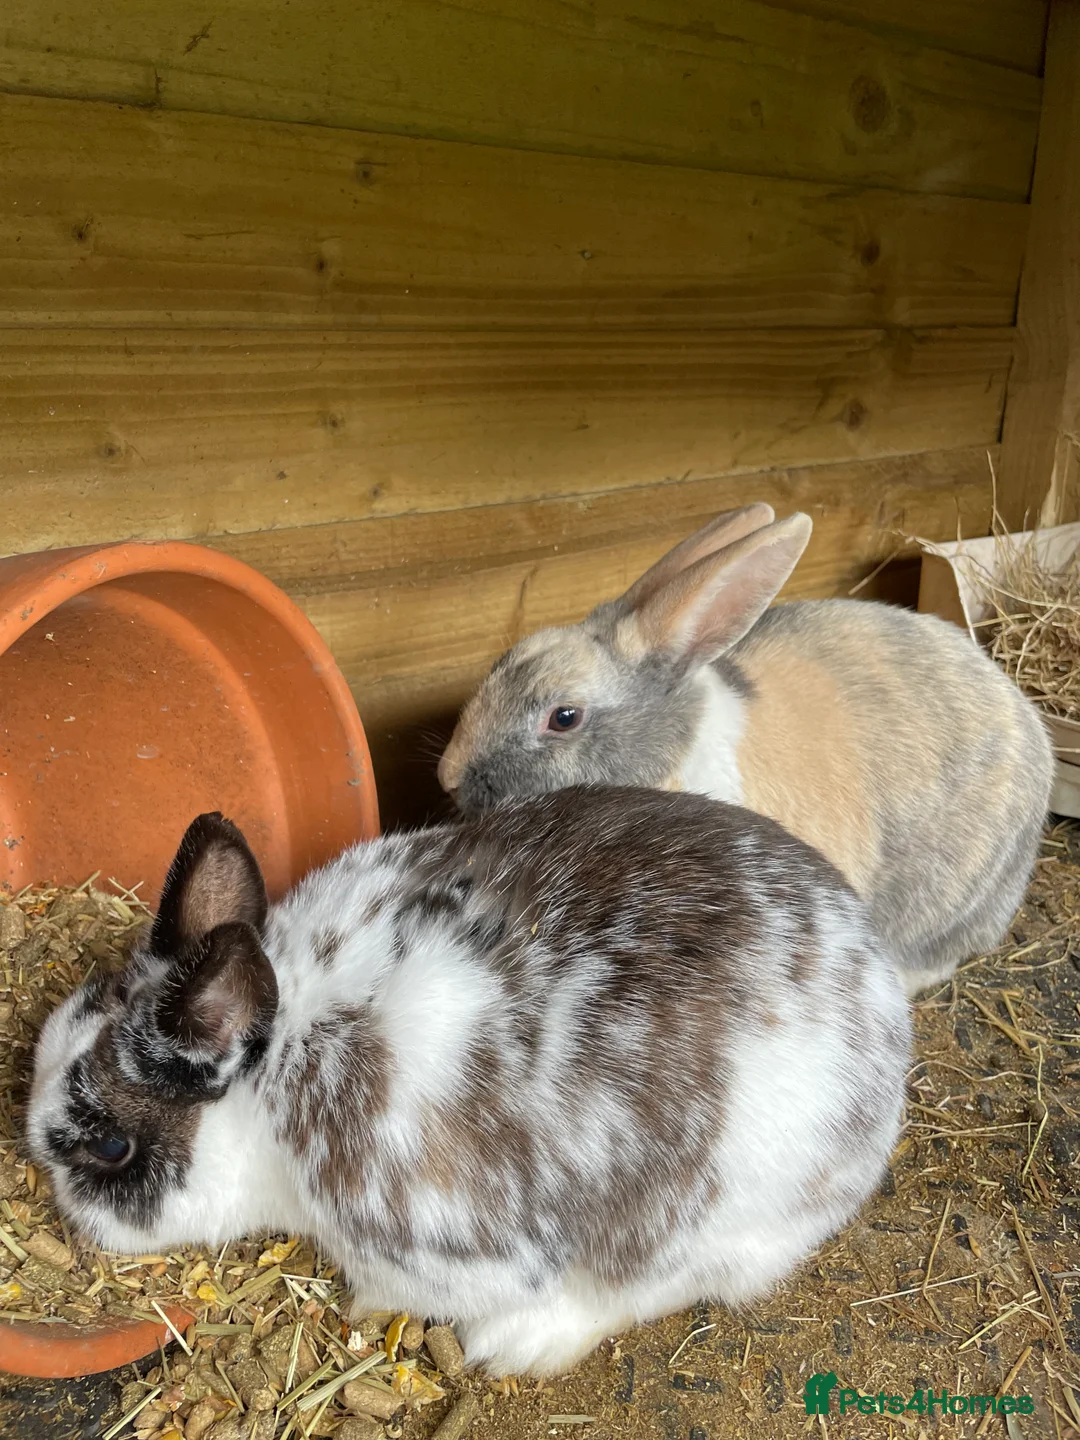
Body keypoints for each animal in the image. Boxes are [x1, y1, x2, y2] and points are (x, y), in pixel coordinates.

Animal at [29, 791, 909, 1378]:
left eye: (111, 1146)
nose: (63, 1200)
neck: (274, 1071)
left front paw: (365, 1310)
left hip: (706, 1226)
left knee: (644, 1289)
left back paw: (514, 1343)